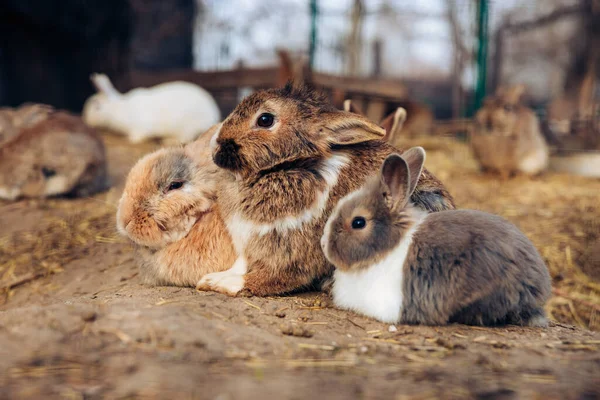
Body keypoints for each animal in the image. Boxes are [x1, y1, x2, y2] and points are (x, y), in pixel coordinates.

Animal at [81, 73, 219, 144]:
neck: (117, 108)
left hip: (186, 128)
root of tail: (213, 116)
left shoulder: (139, 127)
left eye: (97, 107)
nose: (86, 121)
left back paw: (168, 140)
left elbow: (138, 136)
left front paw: (129, 139)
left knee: (185, 138)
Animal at [196, 83, 454, 296]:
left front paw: (221, 283)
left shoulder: (291, 252)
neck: (286, 167)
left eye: (265, 119)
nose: (214, 145)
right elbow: (240, 263)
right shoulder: (247, 240)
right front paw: (211, 278)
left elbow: (266, 278)